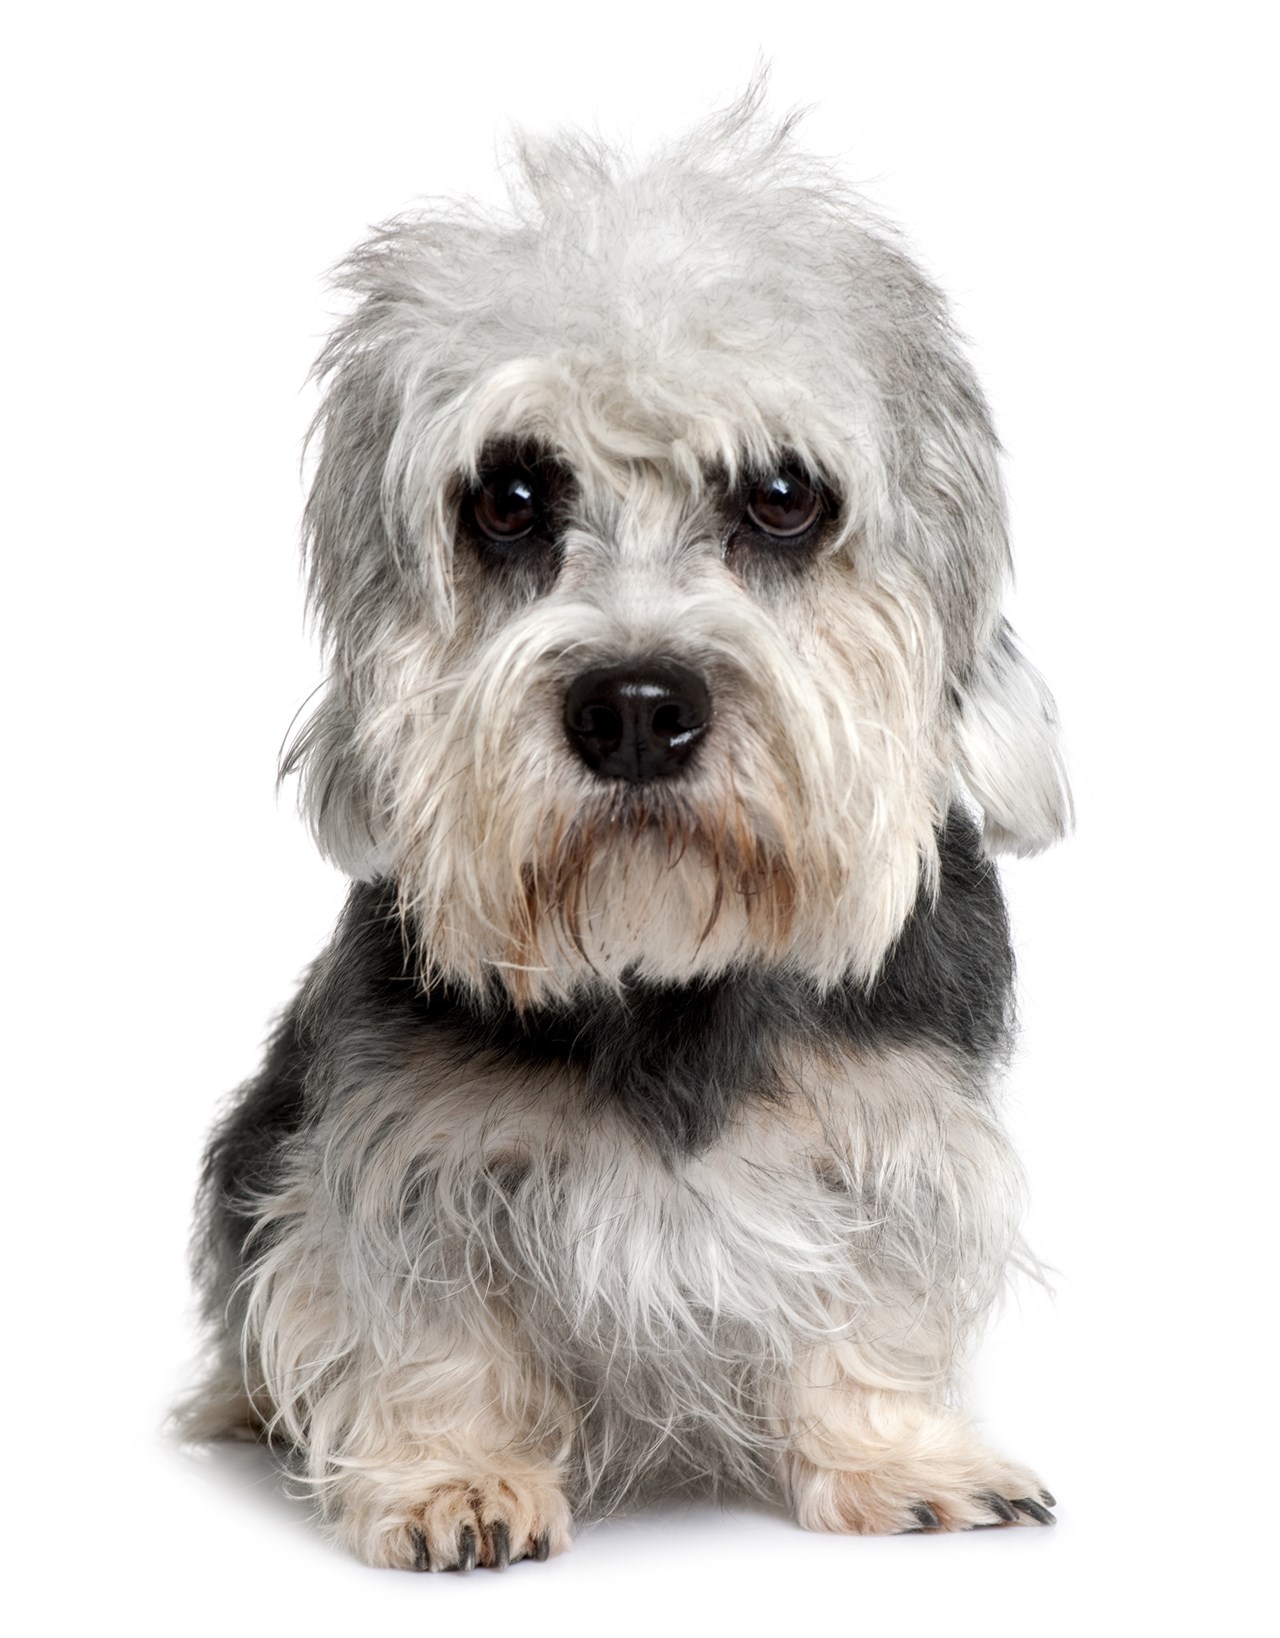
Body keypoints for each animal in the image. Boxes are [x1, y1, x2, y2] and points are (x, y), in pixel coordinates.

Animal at [187, 92, 1068, 1572]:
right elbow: (412, 1313)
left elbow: (879, 1298)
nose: (638, 709)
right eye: (508, 499)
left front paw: (897, 1453)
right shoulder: (399, 1149)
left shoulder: (898, 1126)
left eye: (781, 493)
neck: (665, 969)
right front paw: (451, 1473)